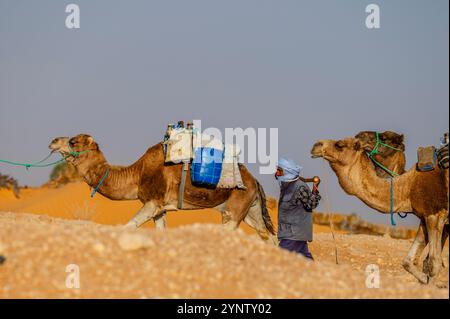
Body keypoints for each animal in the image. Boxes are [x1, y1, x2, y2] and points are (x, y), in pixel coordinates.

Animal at [47, 134, 276, 244]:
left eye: (73, 141)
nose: (53, 141)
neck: (136, 174)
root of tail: (254, 181)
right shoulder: (160, 209)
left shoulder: (152, 203)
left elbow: (128, 226)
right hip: (250, 208)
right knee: (268, 236)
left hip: (235, 206)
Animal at [312, 136, 448, 286]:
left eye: (339, 145)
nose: (316, 145)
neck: (409, 187)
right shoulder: (425, 217)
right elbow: (410, 262)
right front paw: (427, 281)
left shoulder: (434, 214)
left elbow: (434, 263)